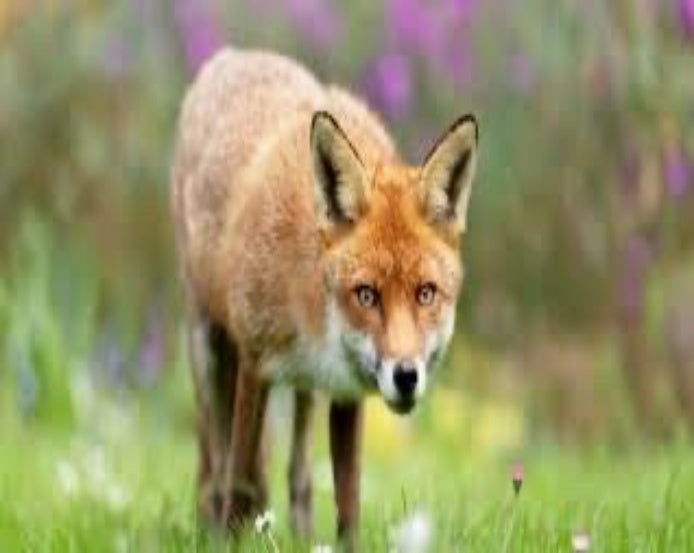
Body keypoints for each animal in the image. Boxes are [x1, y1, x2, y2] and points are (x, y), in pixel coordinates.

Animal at [171, 47, 479, 550]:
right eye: (367, 294)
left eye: (425, 293)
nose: (406, 377)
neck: (318, 318)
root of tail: (234, 55)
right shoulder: (254, 363)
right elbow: (239, 481)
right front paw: (232, 537)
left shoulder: (347, 392)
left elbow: (347, 503)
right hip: (207, 347)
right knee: (216, 466)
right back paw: (213, 525)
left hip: (306, 392)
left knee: (298, 474)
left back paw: (299, 534)